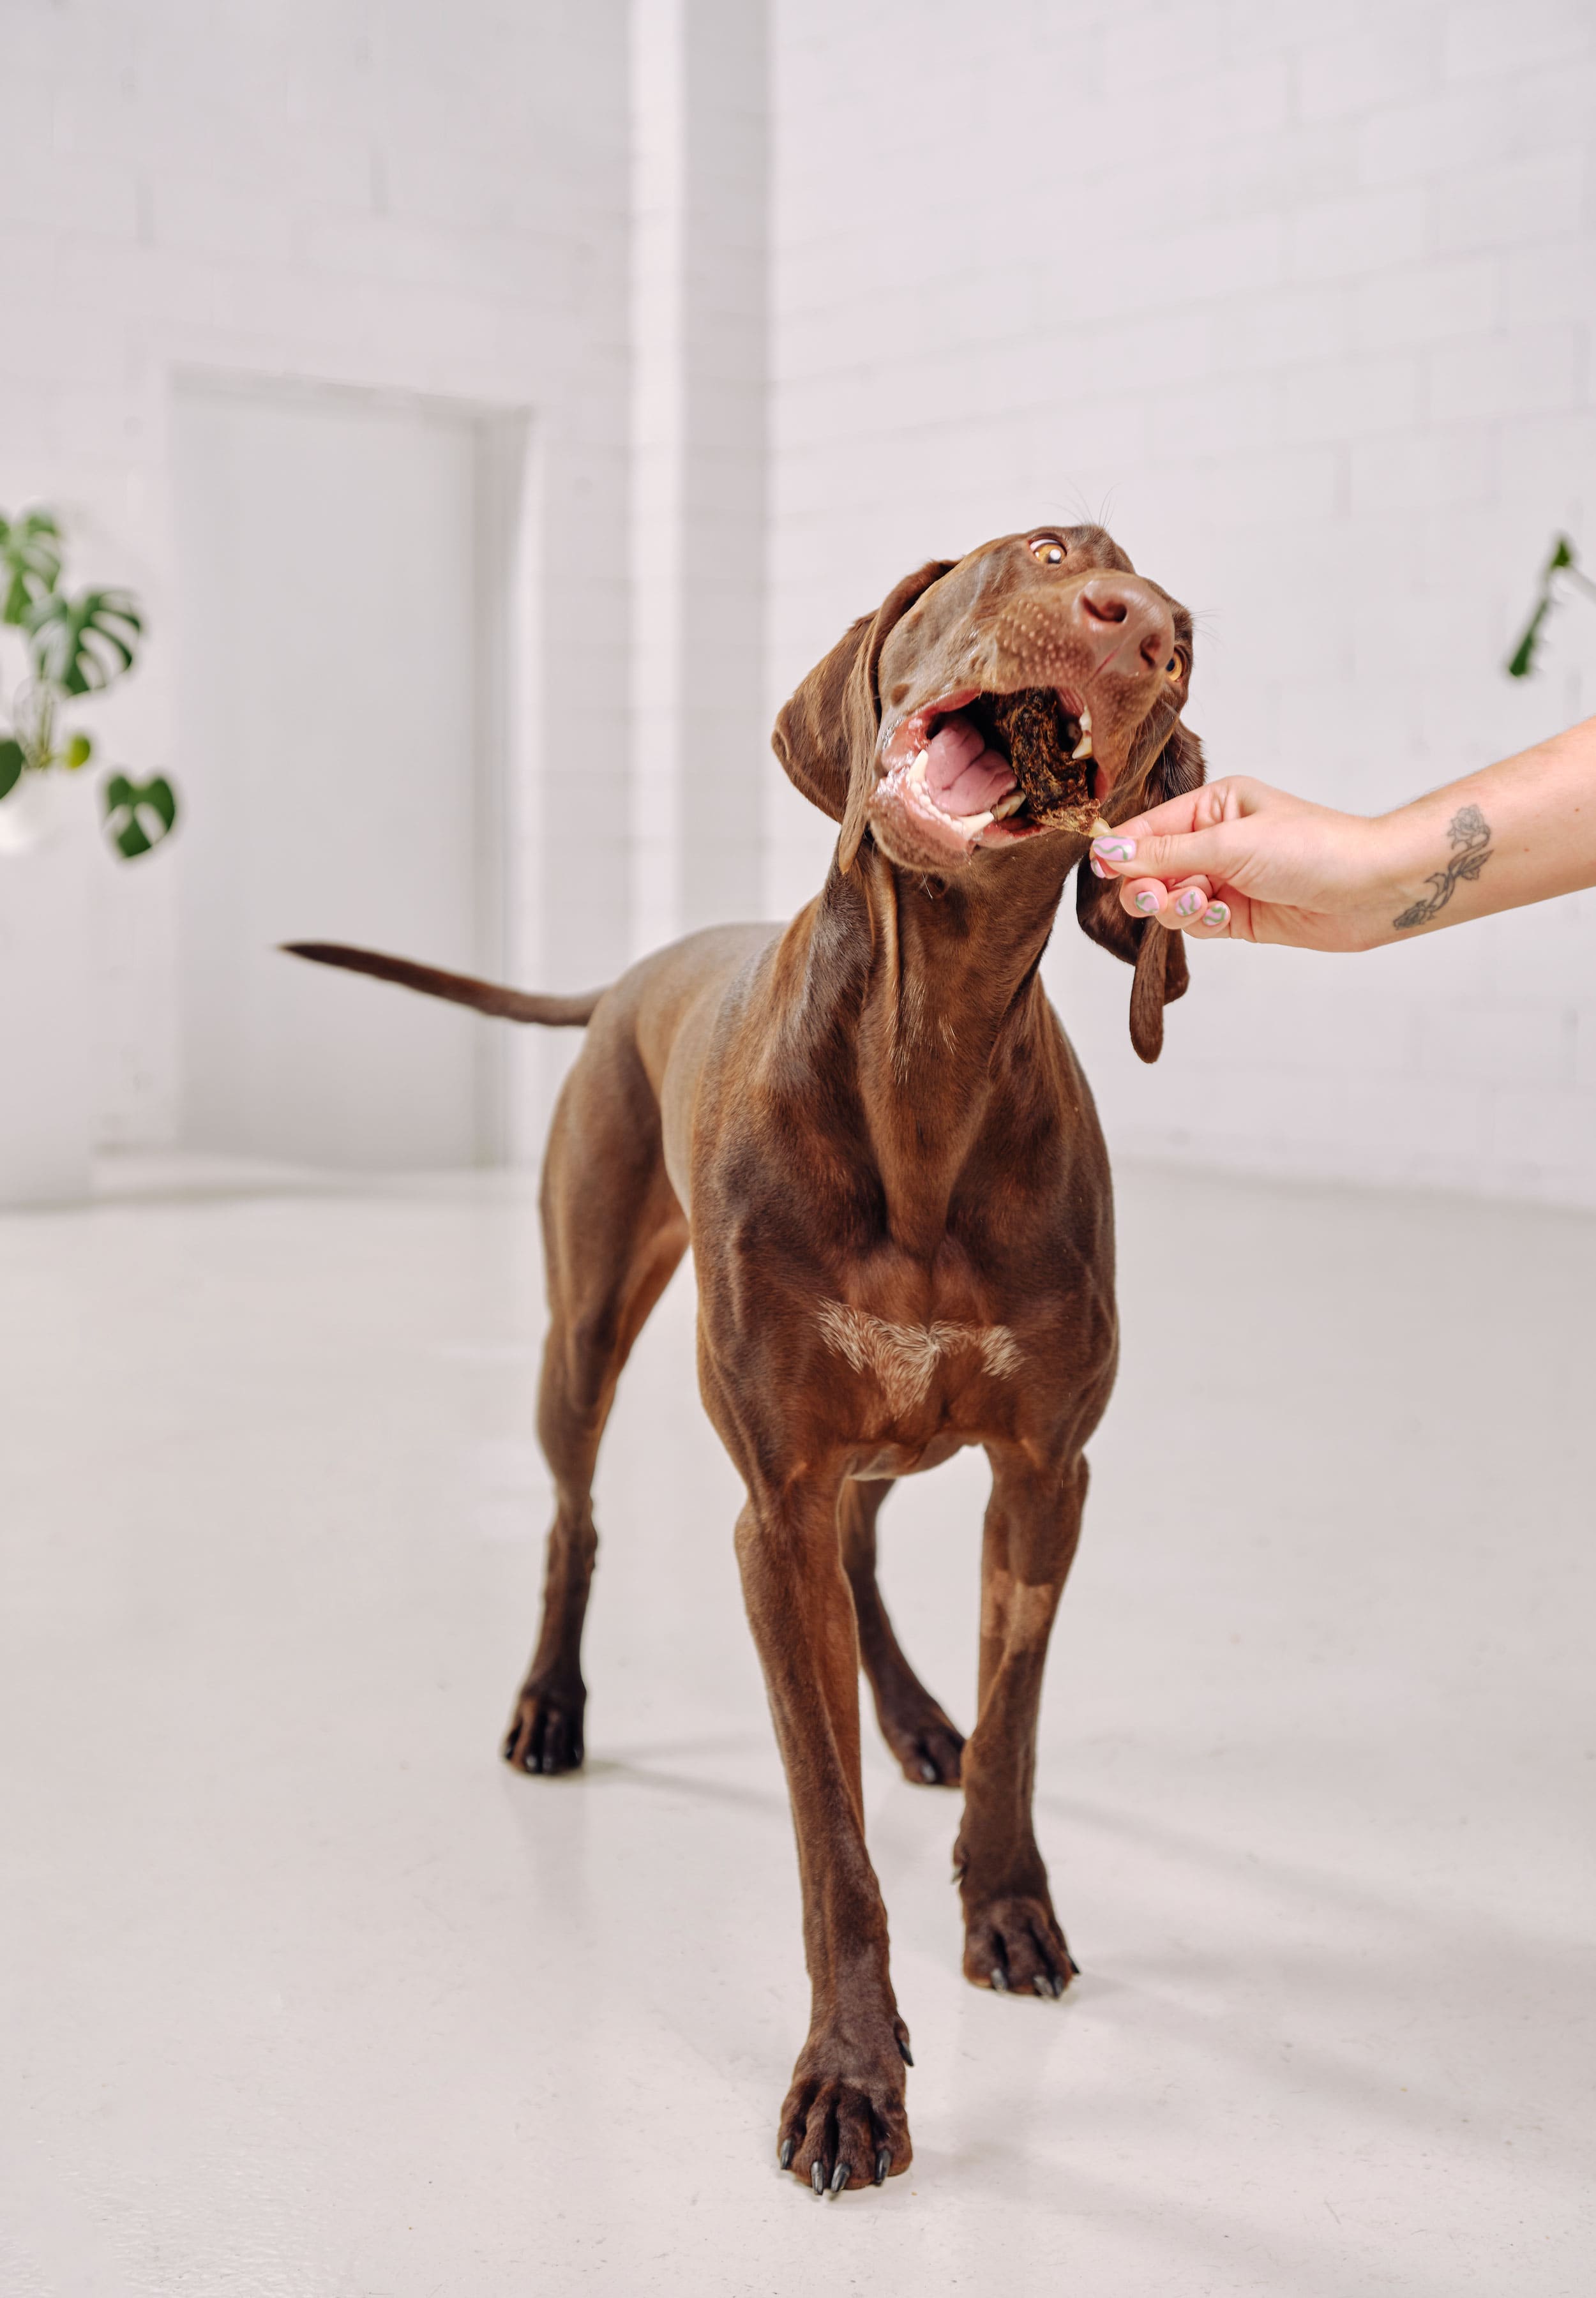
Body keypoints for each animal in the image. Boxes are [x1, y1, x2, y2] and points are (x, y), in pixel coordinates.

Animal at [290, 522, 1214, 2188]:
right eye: (1047, 550)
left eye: (1187, 649)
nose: (1140, 629)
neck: (926, 1057)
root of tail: (629, 976)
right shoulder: (769, 1503)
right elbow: (826, 1835)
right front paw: (853, 2074)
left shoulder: (1042, 1477)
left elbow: (1014, 1737)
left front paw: (1004, 1905)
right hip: (584, 1332)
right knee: (574, 1518)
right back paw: (552, 1706)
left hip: (898, 1439)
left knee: (862, 1550)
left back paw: (913, 1717)